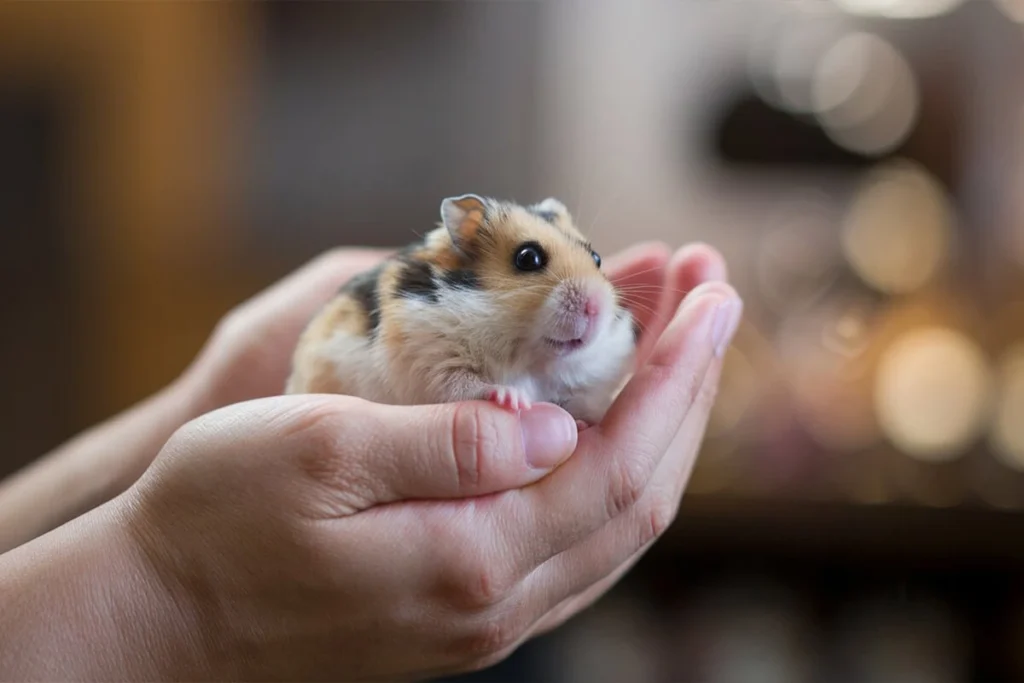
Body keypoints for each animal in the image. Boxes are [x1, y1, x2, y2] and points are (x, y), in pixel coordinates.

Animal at [284, 194, 634, 423]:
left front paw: (582, 421)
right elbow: (465, 385)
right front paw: (513, 398)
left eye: (597, 258)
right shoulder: (429, 362)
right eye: (528, 258)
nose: (595, 308)